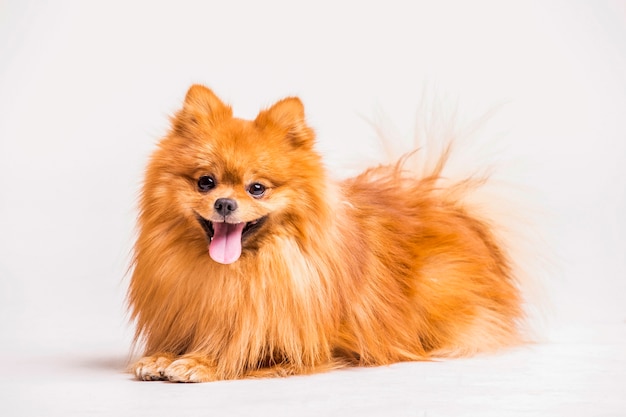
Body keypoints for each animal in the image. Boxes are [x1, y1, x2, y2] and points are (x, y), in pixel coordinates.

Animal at [129, 83, 524, 380]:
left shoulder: (302, 343)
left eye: (257, 188)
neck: (241, 271)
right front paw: (164, 356)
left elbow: (245, 351)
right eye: (205, 182)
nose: (224, 204)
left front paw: (201, 361)